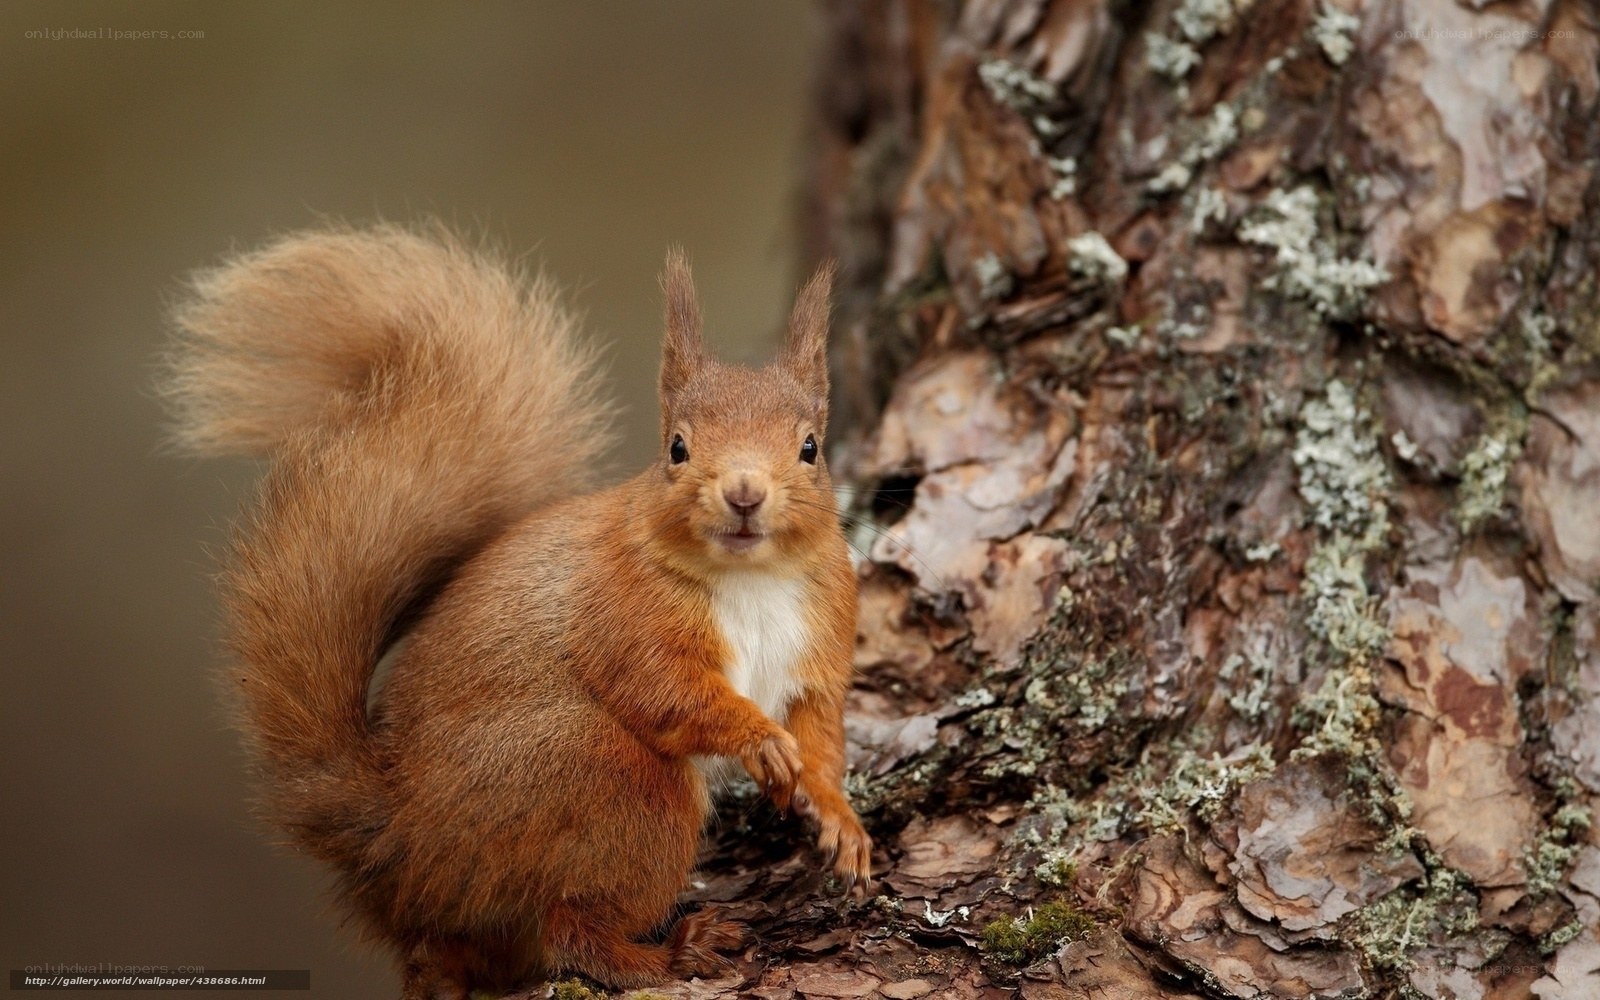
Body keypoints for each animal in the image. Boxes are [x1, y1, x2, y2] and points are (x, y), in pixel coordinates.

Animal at [164, 225, 873, 998]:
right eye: (677, 448)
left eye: (809, 447)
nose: (744, 493)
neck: (752, 578)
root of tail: (397, 845)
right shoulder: (623, 615)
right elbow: (667, 692)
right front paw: (759, 739)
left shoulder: (822, 638)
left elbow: (820, 733)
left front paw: (839, 819)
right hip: (605, 779)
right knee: (571, 928)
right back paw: (669, 953)